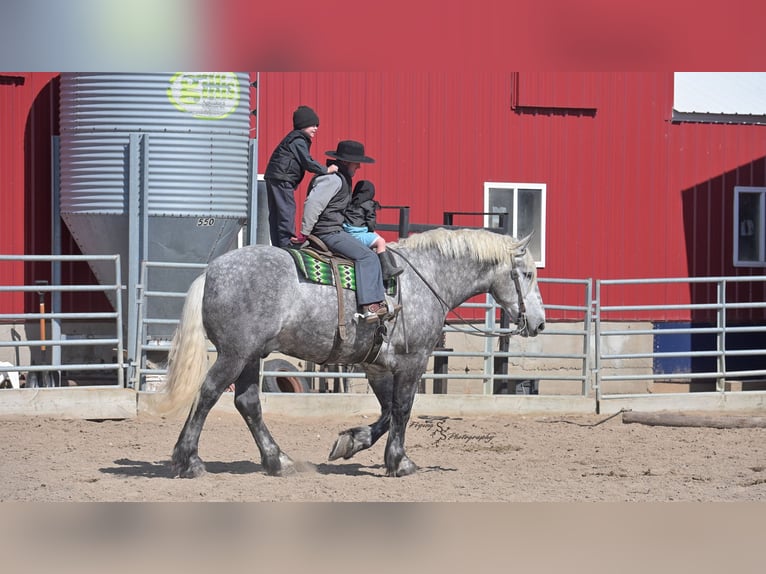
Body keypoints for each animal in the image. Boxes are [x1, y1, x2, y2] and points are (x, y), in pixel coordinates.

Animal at [160, 227, 546, 478]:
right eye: (527, 273)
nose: (540, 323)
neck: (423, 279)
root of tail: (211, 272)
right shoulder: (414, 361)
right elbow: (403, 409)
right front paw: (400, 462)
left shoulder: (377, 366)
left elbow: (387, 411)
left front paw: (351, 442)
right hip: (235, 355)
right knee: (208, 394)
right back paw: (188, 461)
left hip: (251, 357)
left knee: (248, 403)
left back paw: (278, 461)